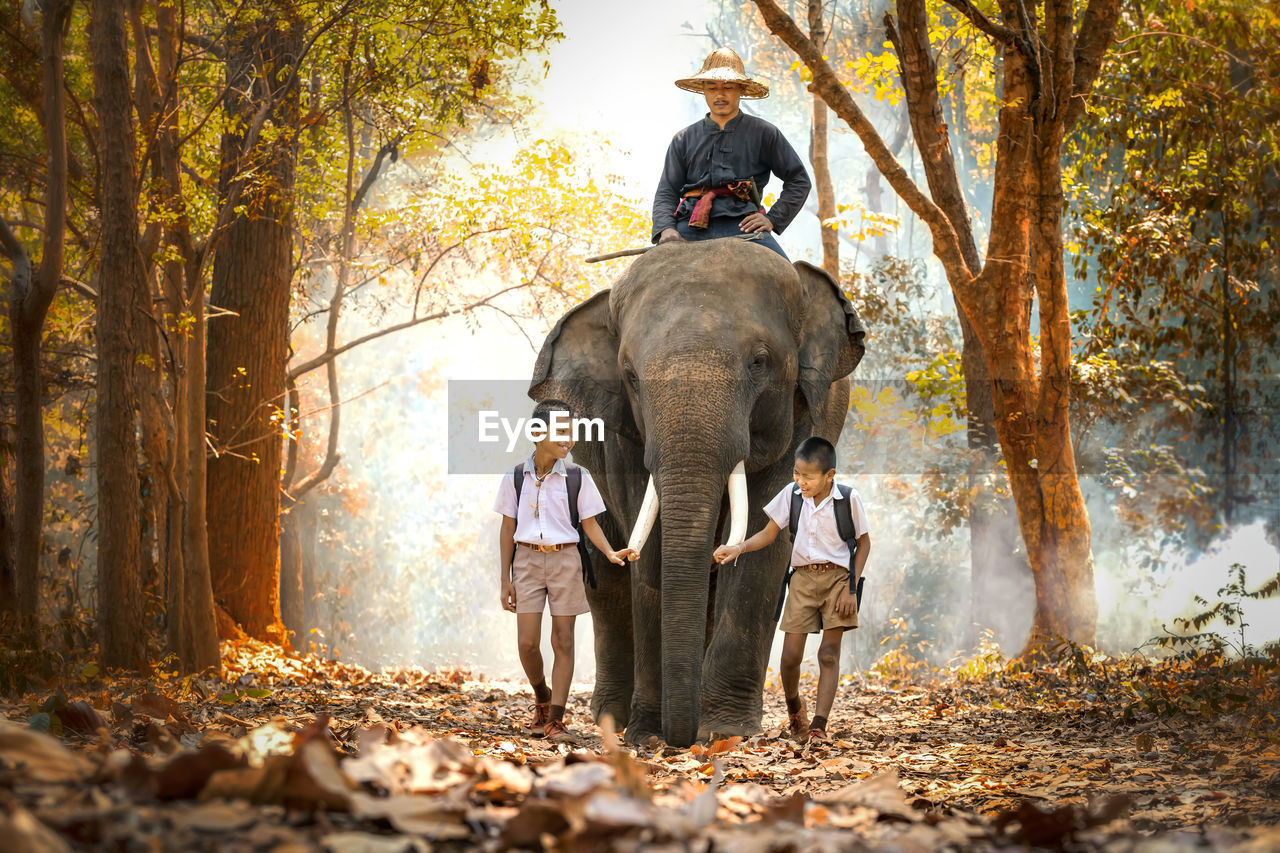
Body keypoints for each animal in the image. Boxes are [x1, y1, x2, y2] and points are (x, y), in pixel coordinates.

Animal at [524, 236, 865, 742]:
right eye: (630, 375)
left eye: (759, 362)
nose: (676, 737)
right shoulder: (623, 435)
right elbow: (649, 553)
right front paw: (646, 733)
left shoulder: (809, 411)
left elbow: (764, 542)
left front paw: (724, 730)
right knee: (605, 583)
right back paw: (612, 719)